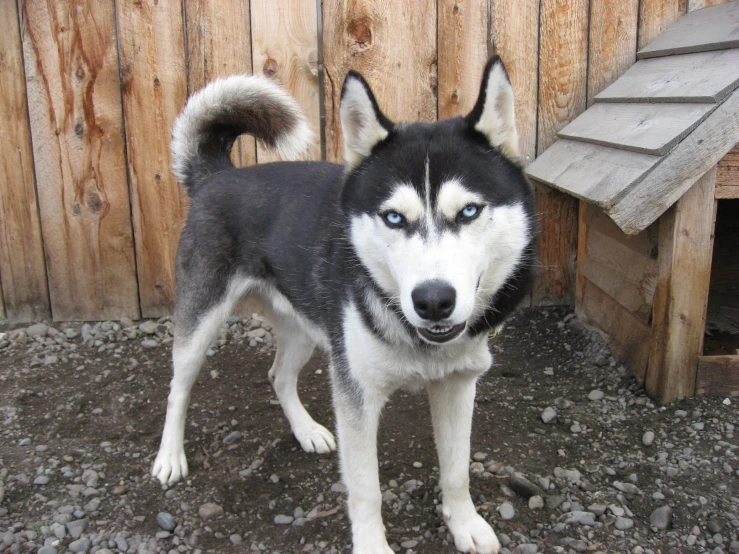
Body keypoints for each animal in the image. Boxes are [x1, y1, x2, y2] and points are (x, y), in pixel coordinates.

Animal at [153, 57, 536, 552]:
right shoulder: (356, 395)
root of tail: (219, 175)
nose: (433, 300)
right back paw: (169, 456)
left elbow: (456, 468)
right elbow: (366, 489)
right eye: (393, 217)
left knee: (278, 376)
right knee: (178, 388)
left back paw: (307, 431)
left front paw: (465, 524)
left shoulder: (457, 384)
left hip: (307, 328)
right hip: (201, 323)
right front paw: (373, 545)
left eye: (469, 211)